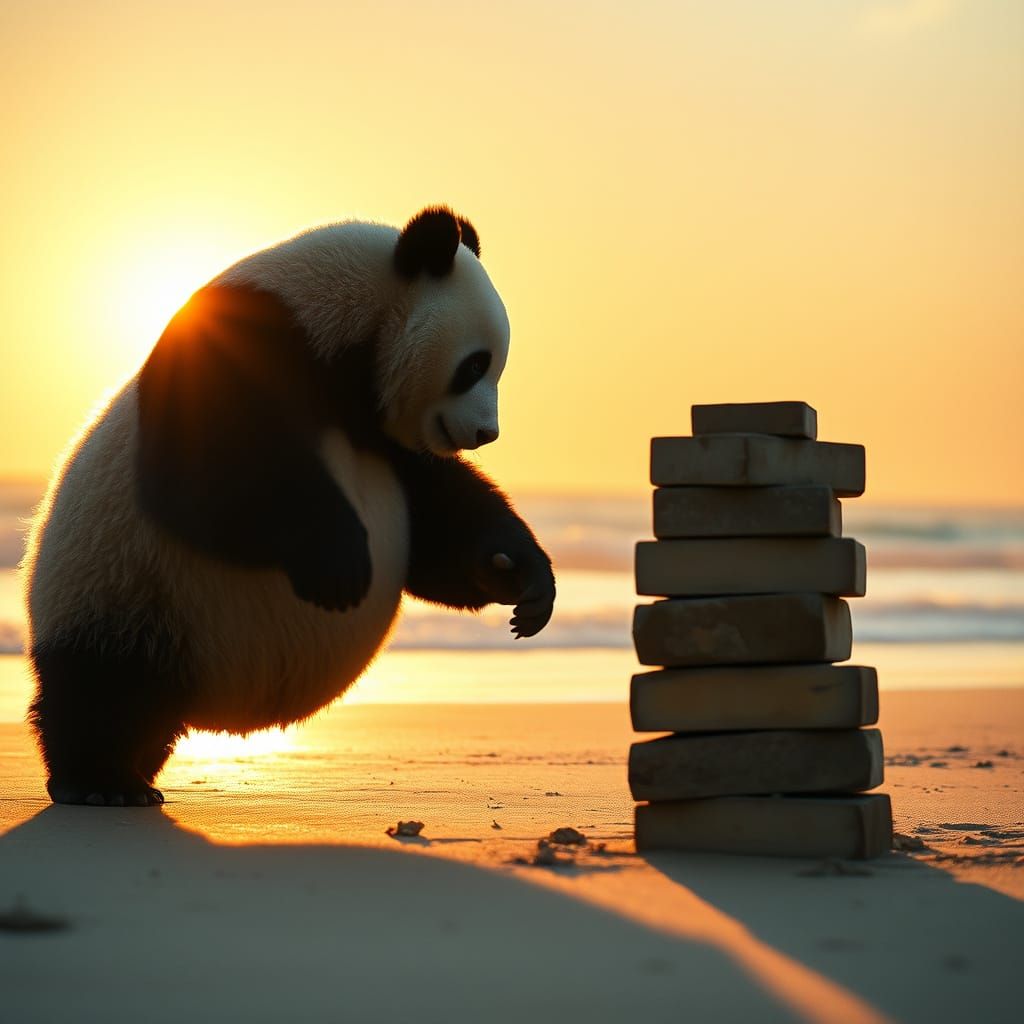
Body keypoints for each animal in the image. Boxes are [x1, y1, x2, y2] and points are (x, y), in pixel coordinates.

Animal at [22, 206, 556, 807]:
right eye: (474, 366)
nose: (486, 433)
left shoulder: (381, 431)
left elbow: (440, 513)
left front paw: (518, 576)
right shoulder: (245, 343)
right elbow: (206, 476)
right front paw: (339, 565)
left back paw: (135, 774)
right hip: (119, 591)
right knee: (102, 689)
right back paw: (100, 781)